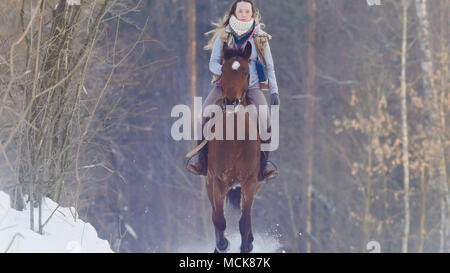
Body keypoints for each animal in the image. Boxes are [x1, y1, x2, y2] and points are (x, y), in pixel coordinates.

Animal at [206, 42, 262, 253]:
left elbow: (244, 220)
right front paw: (222, 245)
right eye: (223, 70)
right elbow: (219, 219)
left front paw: (246, 246)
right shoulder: (218, 181)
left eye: (246, 73)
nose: (231, 102)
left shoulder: (250, 182)